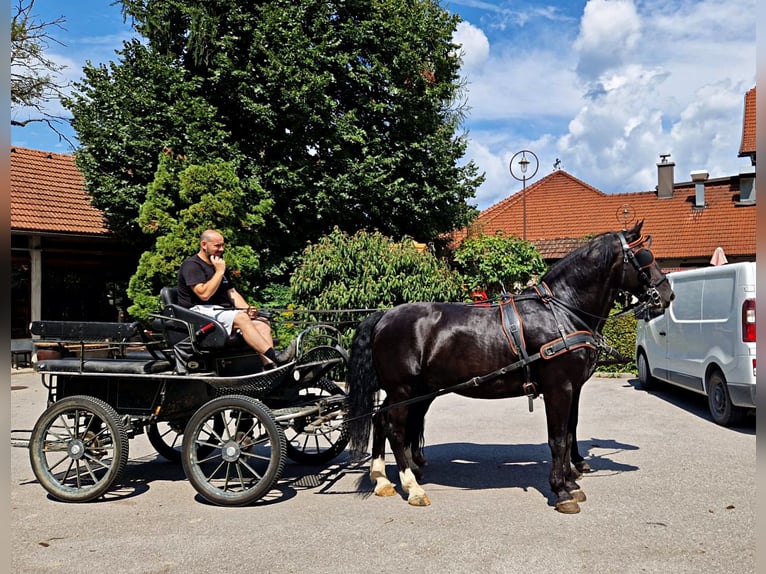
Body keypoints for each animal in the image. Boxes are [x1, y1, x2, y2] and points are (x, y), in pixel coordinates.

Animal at [348, 223, 680, 516]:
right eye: (645, 256)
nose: (667, 295)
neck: (561, 311)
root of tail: (385, 315)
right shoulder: (559, 387)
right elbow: (558, 438)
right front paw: (561, 490)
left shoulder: (573, 387)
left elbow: (569, 430)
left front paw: (572, 480)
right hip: (403, 388)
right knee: (394, 428)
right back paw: (411, 487)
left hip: (417, 390)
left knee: (382, 420)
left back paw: (383, 479)